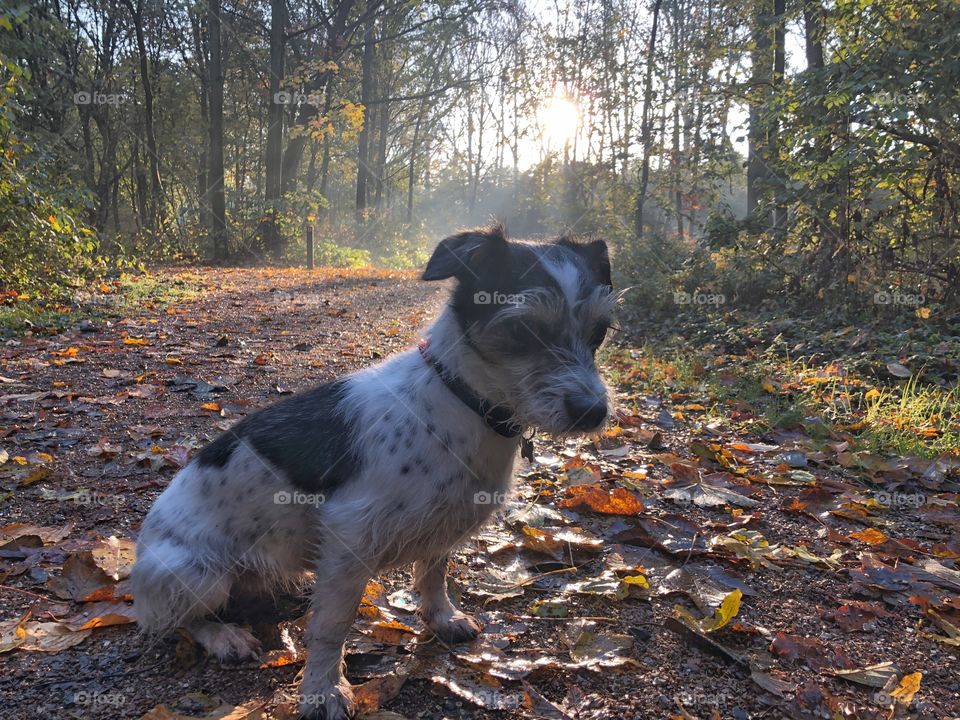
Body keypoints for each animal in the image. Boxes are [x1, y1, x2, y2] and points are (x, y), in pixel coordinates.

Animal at [131, 225, 616, 720]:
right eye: (522, 328)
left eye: (599, 331)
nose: (594, 412)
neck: (460, 400)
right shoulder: (350, 537)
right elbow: (332, 627)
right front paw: (323, 690)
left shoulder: (444, 522)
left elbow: (434, 573)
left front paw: (442, 617)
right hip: (195, 573)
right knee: (176, 621)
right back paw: (222, 636)